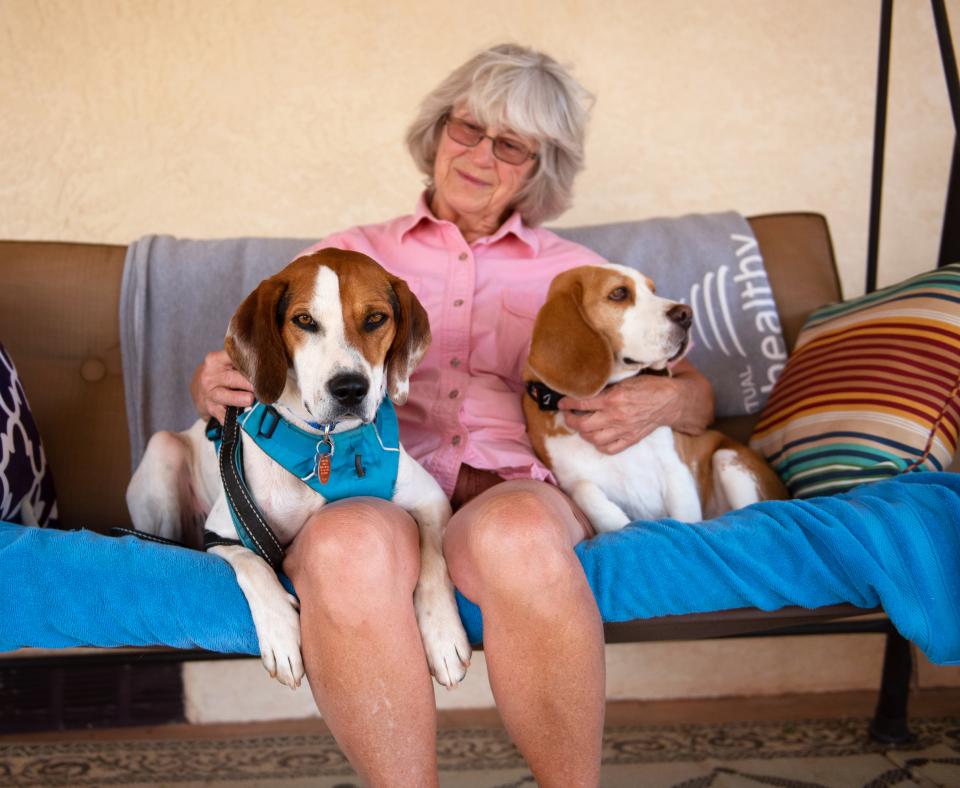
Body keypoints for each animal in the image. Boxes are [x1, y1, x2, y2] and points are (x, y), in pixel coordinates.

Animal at [125, 248, 470, 688]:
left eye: (376, 318)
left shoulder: (430, 499)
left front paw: (443, 636)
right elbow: (254, 566)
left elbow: (434, 559)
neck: (328, 444)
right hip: (163, 451)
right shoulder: (223, 532)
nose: (350, 388)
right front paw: (281, 635)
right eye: (304, 320)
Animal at [524, 266, 788, 536]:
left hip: (728, 459)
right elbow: (584, 489)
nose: (686, 314)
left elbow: (685, 521)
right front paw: (618, 522)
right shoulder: (570, 481)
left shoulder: (676, 473)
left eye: (652, 290)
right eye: (619, 293)